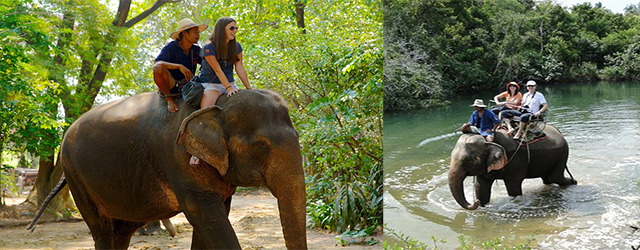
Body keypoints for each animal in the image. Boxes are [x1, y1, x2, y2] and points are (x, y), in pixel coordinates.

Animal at [29, 89, 308, 248]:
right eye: (261, 146)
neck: (216, 105)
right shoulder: (176, 155)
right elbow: (202, 212)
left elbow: (212, 217)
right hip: (75, 176)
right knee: (103, 231)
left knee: (121, 231)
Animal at [448, 123, 576, 209]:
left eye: (467, 159)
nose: (475, 202)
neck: (488, 140)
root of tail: (558, 131)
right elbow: (481, 186)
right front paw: (482, 204)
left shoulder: (516, 161)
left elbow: (513, 187)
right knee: (547, 179)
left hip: (563, 152)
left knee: (555, 177)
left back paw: (574, 183)